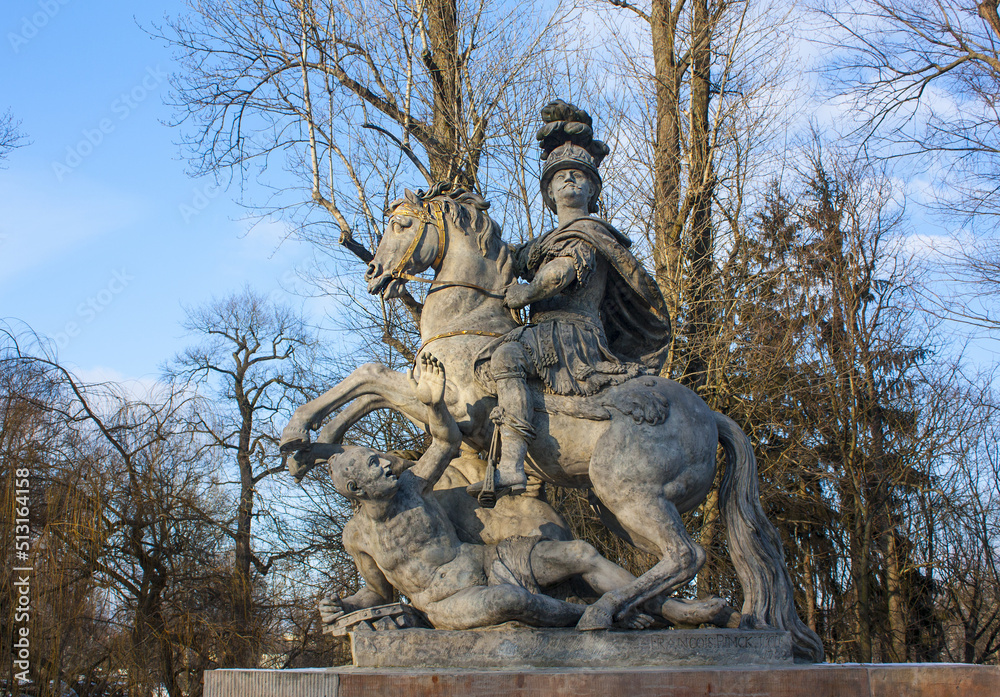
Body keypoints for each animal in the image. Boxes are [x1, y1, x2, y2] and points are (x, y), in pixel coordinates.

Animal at [280, 185, 820, 664]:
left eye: (402, 225)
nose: (374, 273)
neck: (468, 321)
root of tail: (711, 416)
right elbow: (369, 386)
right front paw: (318, 446)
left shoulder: (454, 412)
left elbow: (372, 377)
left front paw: (299, 436)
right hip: (622, 511)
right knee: (662, 562)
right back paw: (688, 614)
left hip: (630, 495)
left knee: (685, 556)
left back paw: (602, 615)